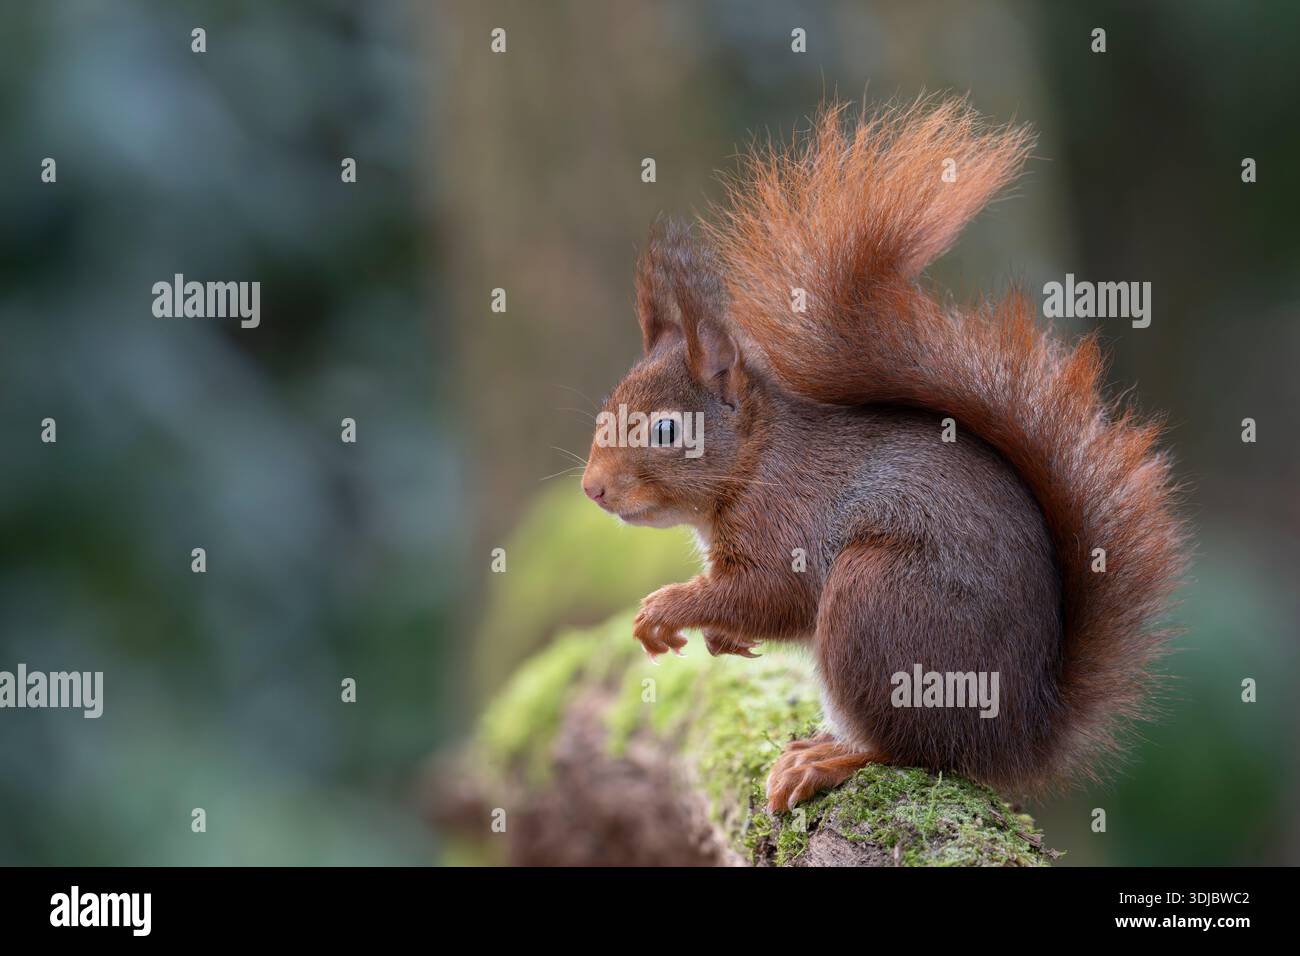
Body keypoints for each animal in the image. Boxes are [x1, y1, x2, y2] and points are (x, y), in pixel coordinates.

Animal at [579, 98, 1187, 812]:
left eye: (668, 431)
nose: (592, 488)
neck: (756, 466)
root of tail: (1016, 735)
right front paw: (718, 635)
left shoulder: (790, 525)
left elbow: (770, 594)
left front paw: (666, 609)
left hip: (876, 600)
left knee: (912, 748)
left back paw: (828, 759)